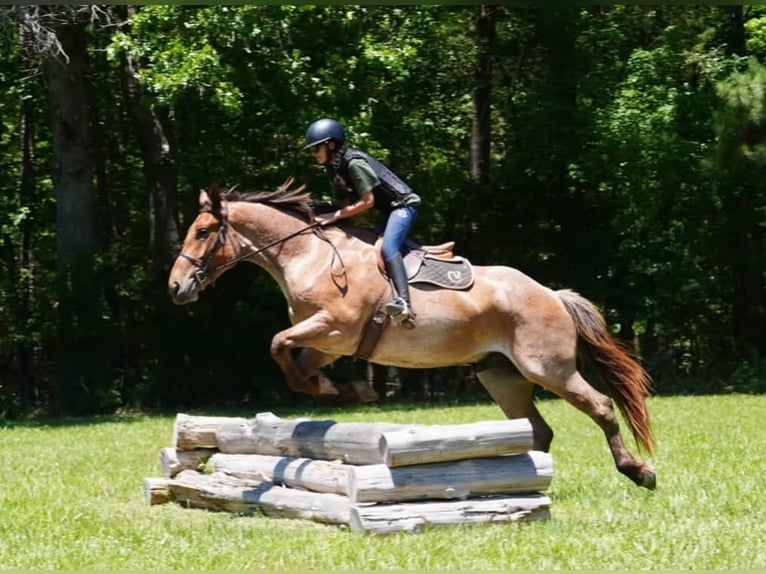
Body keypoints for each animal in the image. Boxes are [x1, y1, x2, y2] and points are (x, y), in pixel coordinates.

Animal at [168, 180, 656, 489]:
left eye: (204, 232)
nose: (175, 287)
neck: (307, 255)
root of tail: (552, 294)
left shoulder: (335, 328)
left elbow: (277, 344)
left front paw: (341, 390)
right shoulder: (325, 344)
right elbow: (292, 360)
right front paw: (343, 390)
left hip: (548, 368)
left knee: (600, 406)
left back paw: (638, 471)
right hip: (501, 376)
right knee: (537, 429)